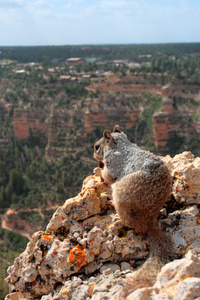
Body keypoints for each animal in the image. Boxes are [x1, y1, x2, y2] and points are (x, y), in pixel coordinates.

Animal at [93, 123, 174, 296]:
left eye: (97, 147)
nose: (94, 155)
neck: (121, 145)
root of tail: (150, 223)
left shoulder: (112, 163)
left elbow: (108, 175)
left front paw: (100, 170)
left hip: (120, 196)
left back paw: (117, 220)